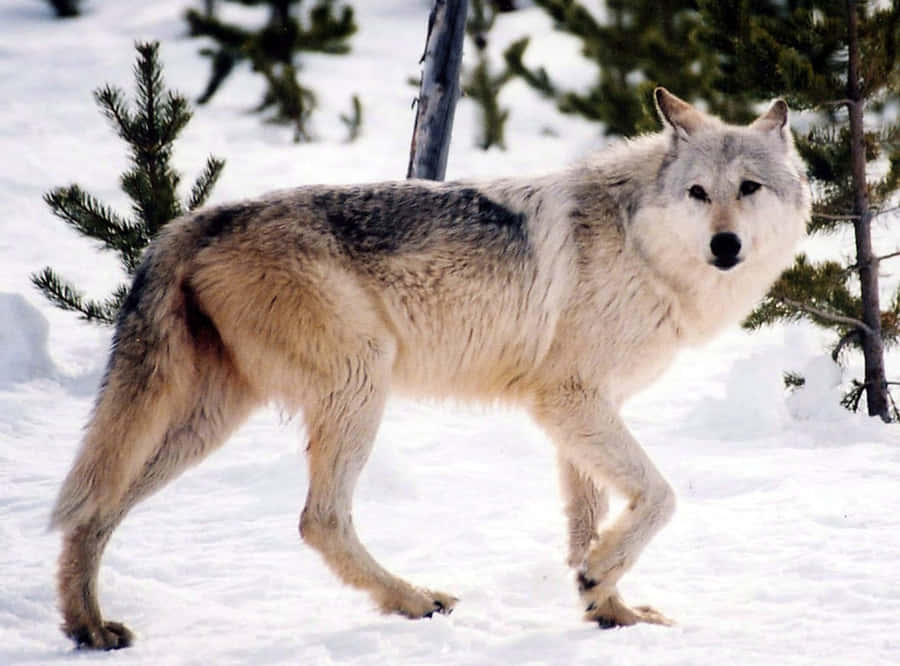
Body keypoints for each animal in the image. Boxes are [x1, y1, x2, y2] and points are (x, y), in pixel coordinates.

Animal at [50, 88, 809, 649]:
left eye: (749, 188)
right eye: (698, 193)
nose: (726, 245)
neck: (640, 244)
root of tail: (194, 221)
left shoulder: (582, 412)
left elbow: (588, 523)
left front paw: (609, 609)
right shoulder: (568, 401)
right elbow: (659, 497)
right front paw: (600, 582)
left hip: (208, 421)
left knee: (94, 510)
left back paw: (87, 627)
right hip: (359, 383)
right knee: (318, 520)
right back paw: (412, 599)